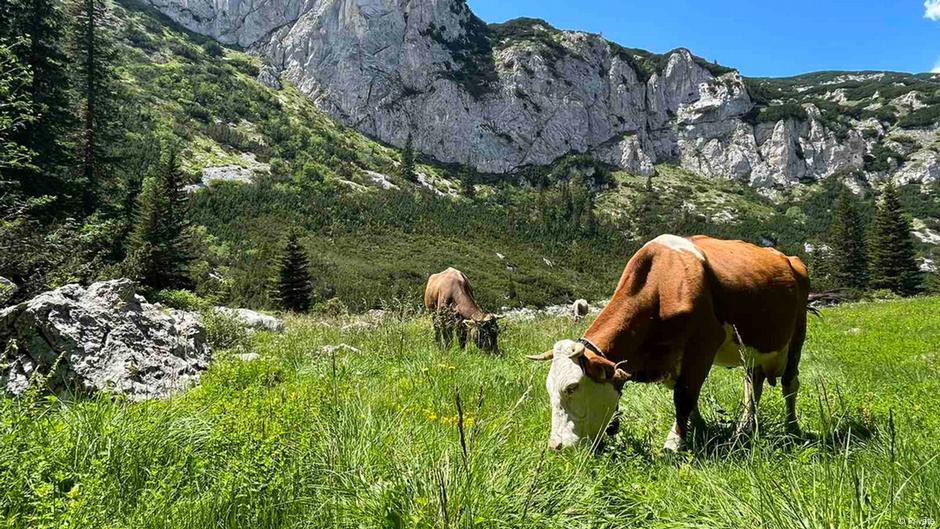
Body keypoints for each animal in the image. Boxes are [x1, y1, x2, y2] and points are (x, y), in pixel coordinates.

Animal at [528, 234, 808, 450]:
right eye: (549, 388)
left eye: (572, 387)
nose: (556, 446)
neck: (662, 285)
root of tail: (788, 258)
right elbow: (689, 398)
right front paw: (699, 431)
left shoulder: (704, 343)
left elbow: (684, 396)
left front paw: (674, 442)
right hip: (752, 352)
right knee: (752, 385)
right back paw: (745, 429)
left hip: (797, 335)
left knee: (789, 384)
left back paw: (792, 429)